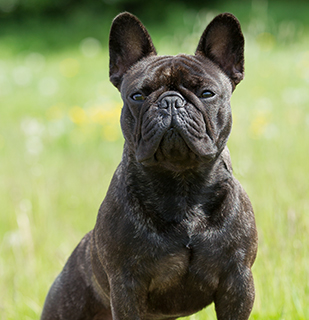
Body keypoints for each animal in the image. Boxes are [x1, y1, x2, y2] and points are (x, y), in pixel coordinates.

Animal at [41, 11, 258, 320]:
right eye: (138, 96)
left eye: (207, 94)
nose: (171, 101)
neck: (181, 184)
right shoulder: (127, 287)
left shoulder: (237, 282)